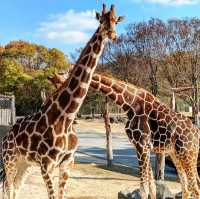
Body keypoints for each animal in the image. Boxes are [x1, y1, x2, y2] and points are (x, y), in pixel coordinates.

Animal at [0, 5, 124, 199]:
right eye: (101, 20)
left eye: (115, 20)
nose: (112, 35)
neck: (67, 116)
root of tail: (5, 137)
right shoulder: (46, 164)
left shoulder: (67, 162)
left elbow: (61, 195)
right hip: (10, 160)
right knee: (8, 187)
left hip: (25, 164)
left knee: (16, 187)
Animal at [48, 72, 200, 199]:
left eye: (66, 82)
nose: (61, 106)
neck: (129, 102)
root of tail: (196, 133)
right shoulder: (142, 147)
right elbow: (151, 187)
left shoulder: (142, 146)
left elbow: (144, 189)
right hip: (176, 155)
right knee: (187, 187)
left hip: (187, 153)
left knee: (195, 187)